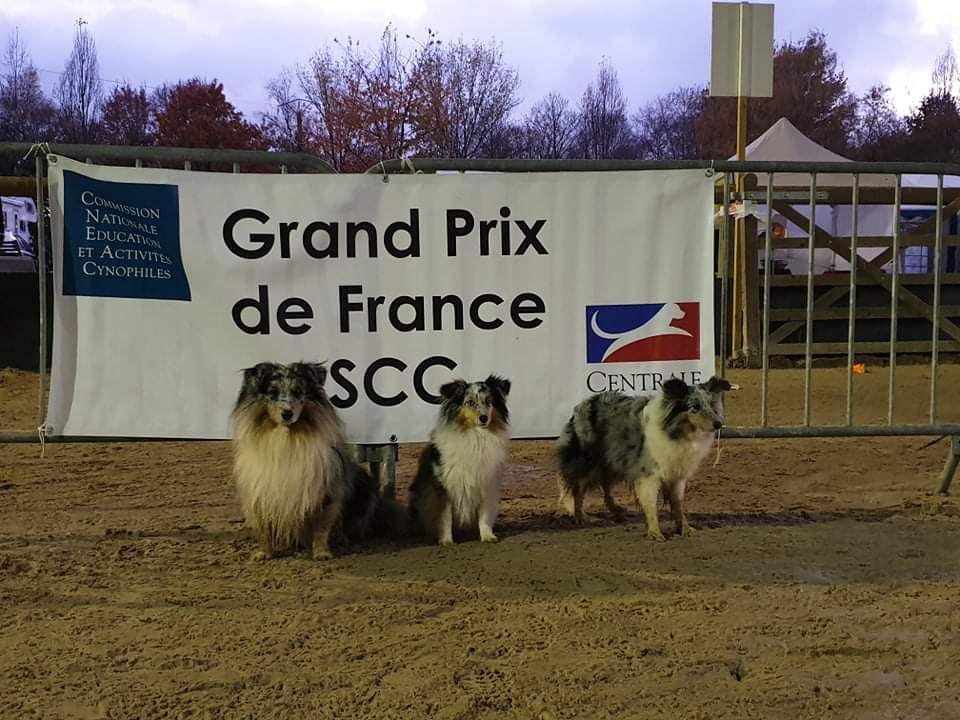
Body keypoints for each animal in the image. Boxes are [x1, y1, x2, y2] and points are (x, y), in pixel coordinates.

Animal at [231, 362, 396, 560]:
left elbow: (322, 525)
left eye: (298, 391)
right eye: (273, 391)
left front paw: (322, 553)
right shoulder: (260, 491)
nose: (287, 414)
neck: (287, 437)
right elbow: (264, 528)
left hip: (364, 486)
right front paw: (263, 553)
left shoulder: (324, 489)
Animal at [404, 376, 510, 544]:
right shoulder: (444, 487)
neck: (475, 436)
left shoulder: (486, 482)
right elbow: (445, 517)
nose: (484, 418)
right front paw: (446, 540)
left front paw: (487, 536)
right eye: (470, 402)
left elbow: (485, 514)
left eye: (488, 401)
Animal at [556, 376, 736, 540]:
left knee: (606, 484)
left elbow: (678, 505)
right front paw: (655, 533)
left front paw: (685, 529)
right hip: (587, 460)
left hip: (613, 459)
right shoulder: (649, 475)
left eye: (711, 405)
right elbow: (651, 505)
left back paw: (616, 509)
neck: (675, 431)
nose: (718, 424)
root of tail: (583, 404)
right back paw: (580, 517)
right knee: (579, 490)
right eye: (694, 407)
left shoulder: (676, 476)